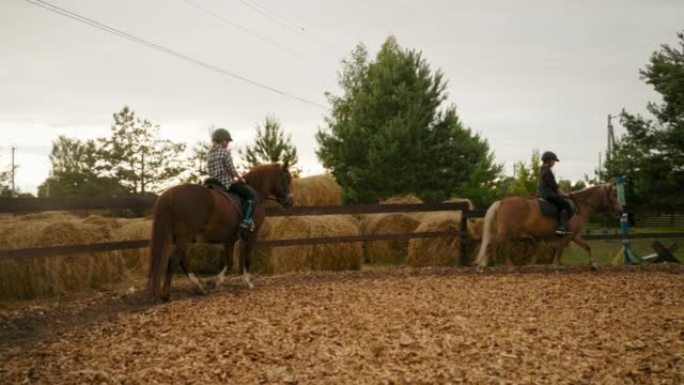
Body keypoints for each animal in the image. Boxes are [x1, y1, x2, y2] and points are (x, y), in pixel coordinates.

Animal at [147, 161, 292, 300]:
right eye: (286, 179)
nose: (290, 202)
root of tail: (170, 194)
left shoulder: (230, 239)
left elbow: (230, 261)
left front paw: (217, 282)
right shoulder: (251, 235)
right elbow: (245, 259)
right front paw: (246, 282)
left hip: (180, 239)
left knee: (183, 261)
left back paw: (199, 287)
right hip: (184, 237)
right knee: (175, 260)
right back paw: (166, 294)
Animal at [472, 182, 624, 268]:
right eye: (614, 195)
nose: (621, 211)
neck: (579, 207)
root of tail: (502, 202)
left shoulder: (574, 235)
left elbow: (587, 246)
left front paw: (593, 264)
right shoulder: (568, 237)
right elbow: (560, 250)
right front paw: (555, 266)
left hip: (508, 232)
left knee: (502, 245)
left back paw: (506, 265)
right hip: (506, 231)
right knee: (493, 244)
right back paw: (484, 265)